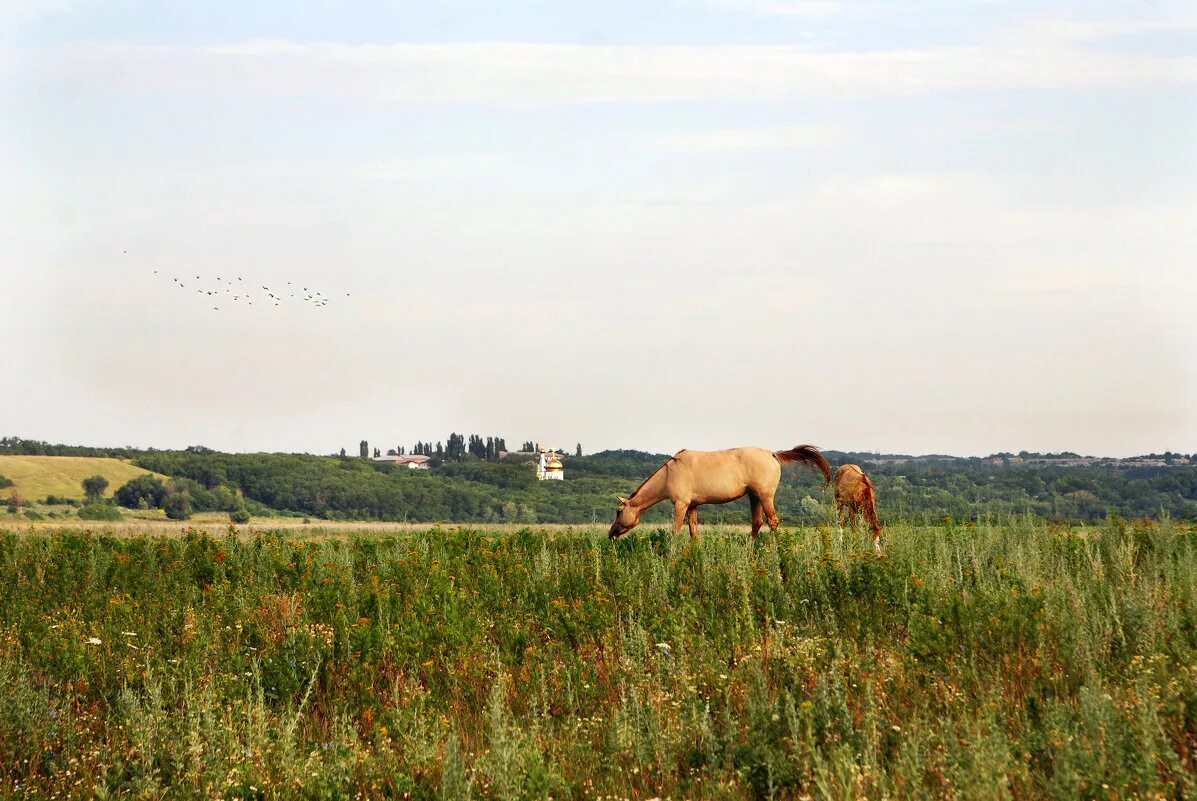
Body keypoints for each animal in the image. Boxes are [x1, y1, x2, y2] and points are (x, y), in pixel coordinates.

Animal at [608, 440, 833, 541]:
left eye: (619, 511)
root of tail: (773, 454)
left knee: (773, 522)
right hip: (754, 496)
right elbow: (693, 532)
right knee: (757, 523)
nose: (611, 534)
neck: (670, 473)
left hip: (765, 496)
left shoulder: (681, 504)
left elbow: (676, 530)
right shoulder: (693, 506)